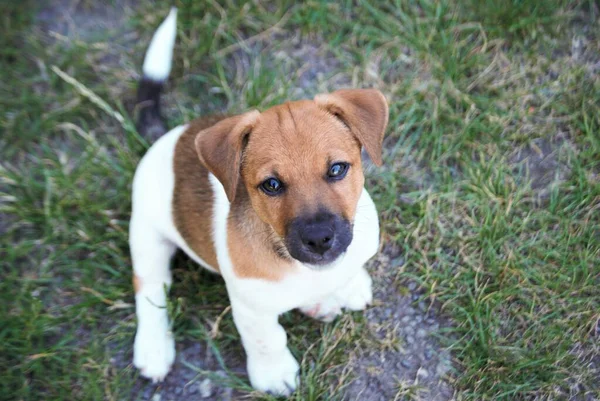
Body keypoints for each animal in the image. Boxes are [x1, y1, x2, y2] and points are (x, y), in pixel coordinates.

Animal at [131, 7, 390, 396]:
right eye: (271, 185)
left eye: (337, 169)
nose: (319, 239)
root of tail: (168, 138)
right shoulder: (250, 307)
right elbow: (268, 339)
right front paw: (274, 374)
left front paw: (349, 284)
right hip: (147, 239)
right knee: (149, 292)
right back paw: (153, 349)